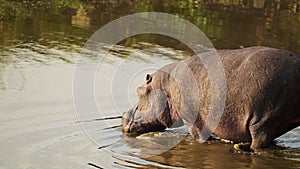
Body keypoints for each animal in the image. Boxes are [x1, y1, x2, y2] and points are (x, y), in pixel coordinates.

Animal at [121, 45, 300, 151]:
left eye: (138, 91)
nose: (123, 115)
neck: (164, 85)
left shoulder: (192, 119)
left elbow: (198, 137)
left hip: (263, 120)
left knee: (259, 141)